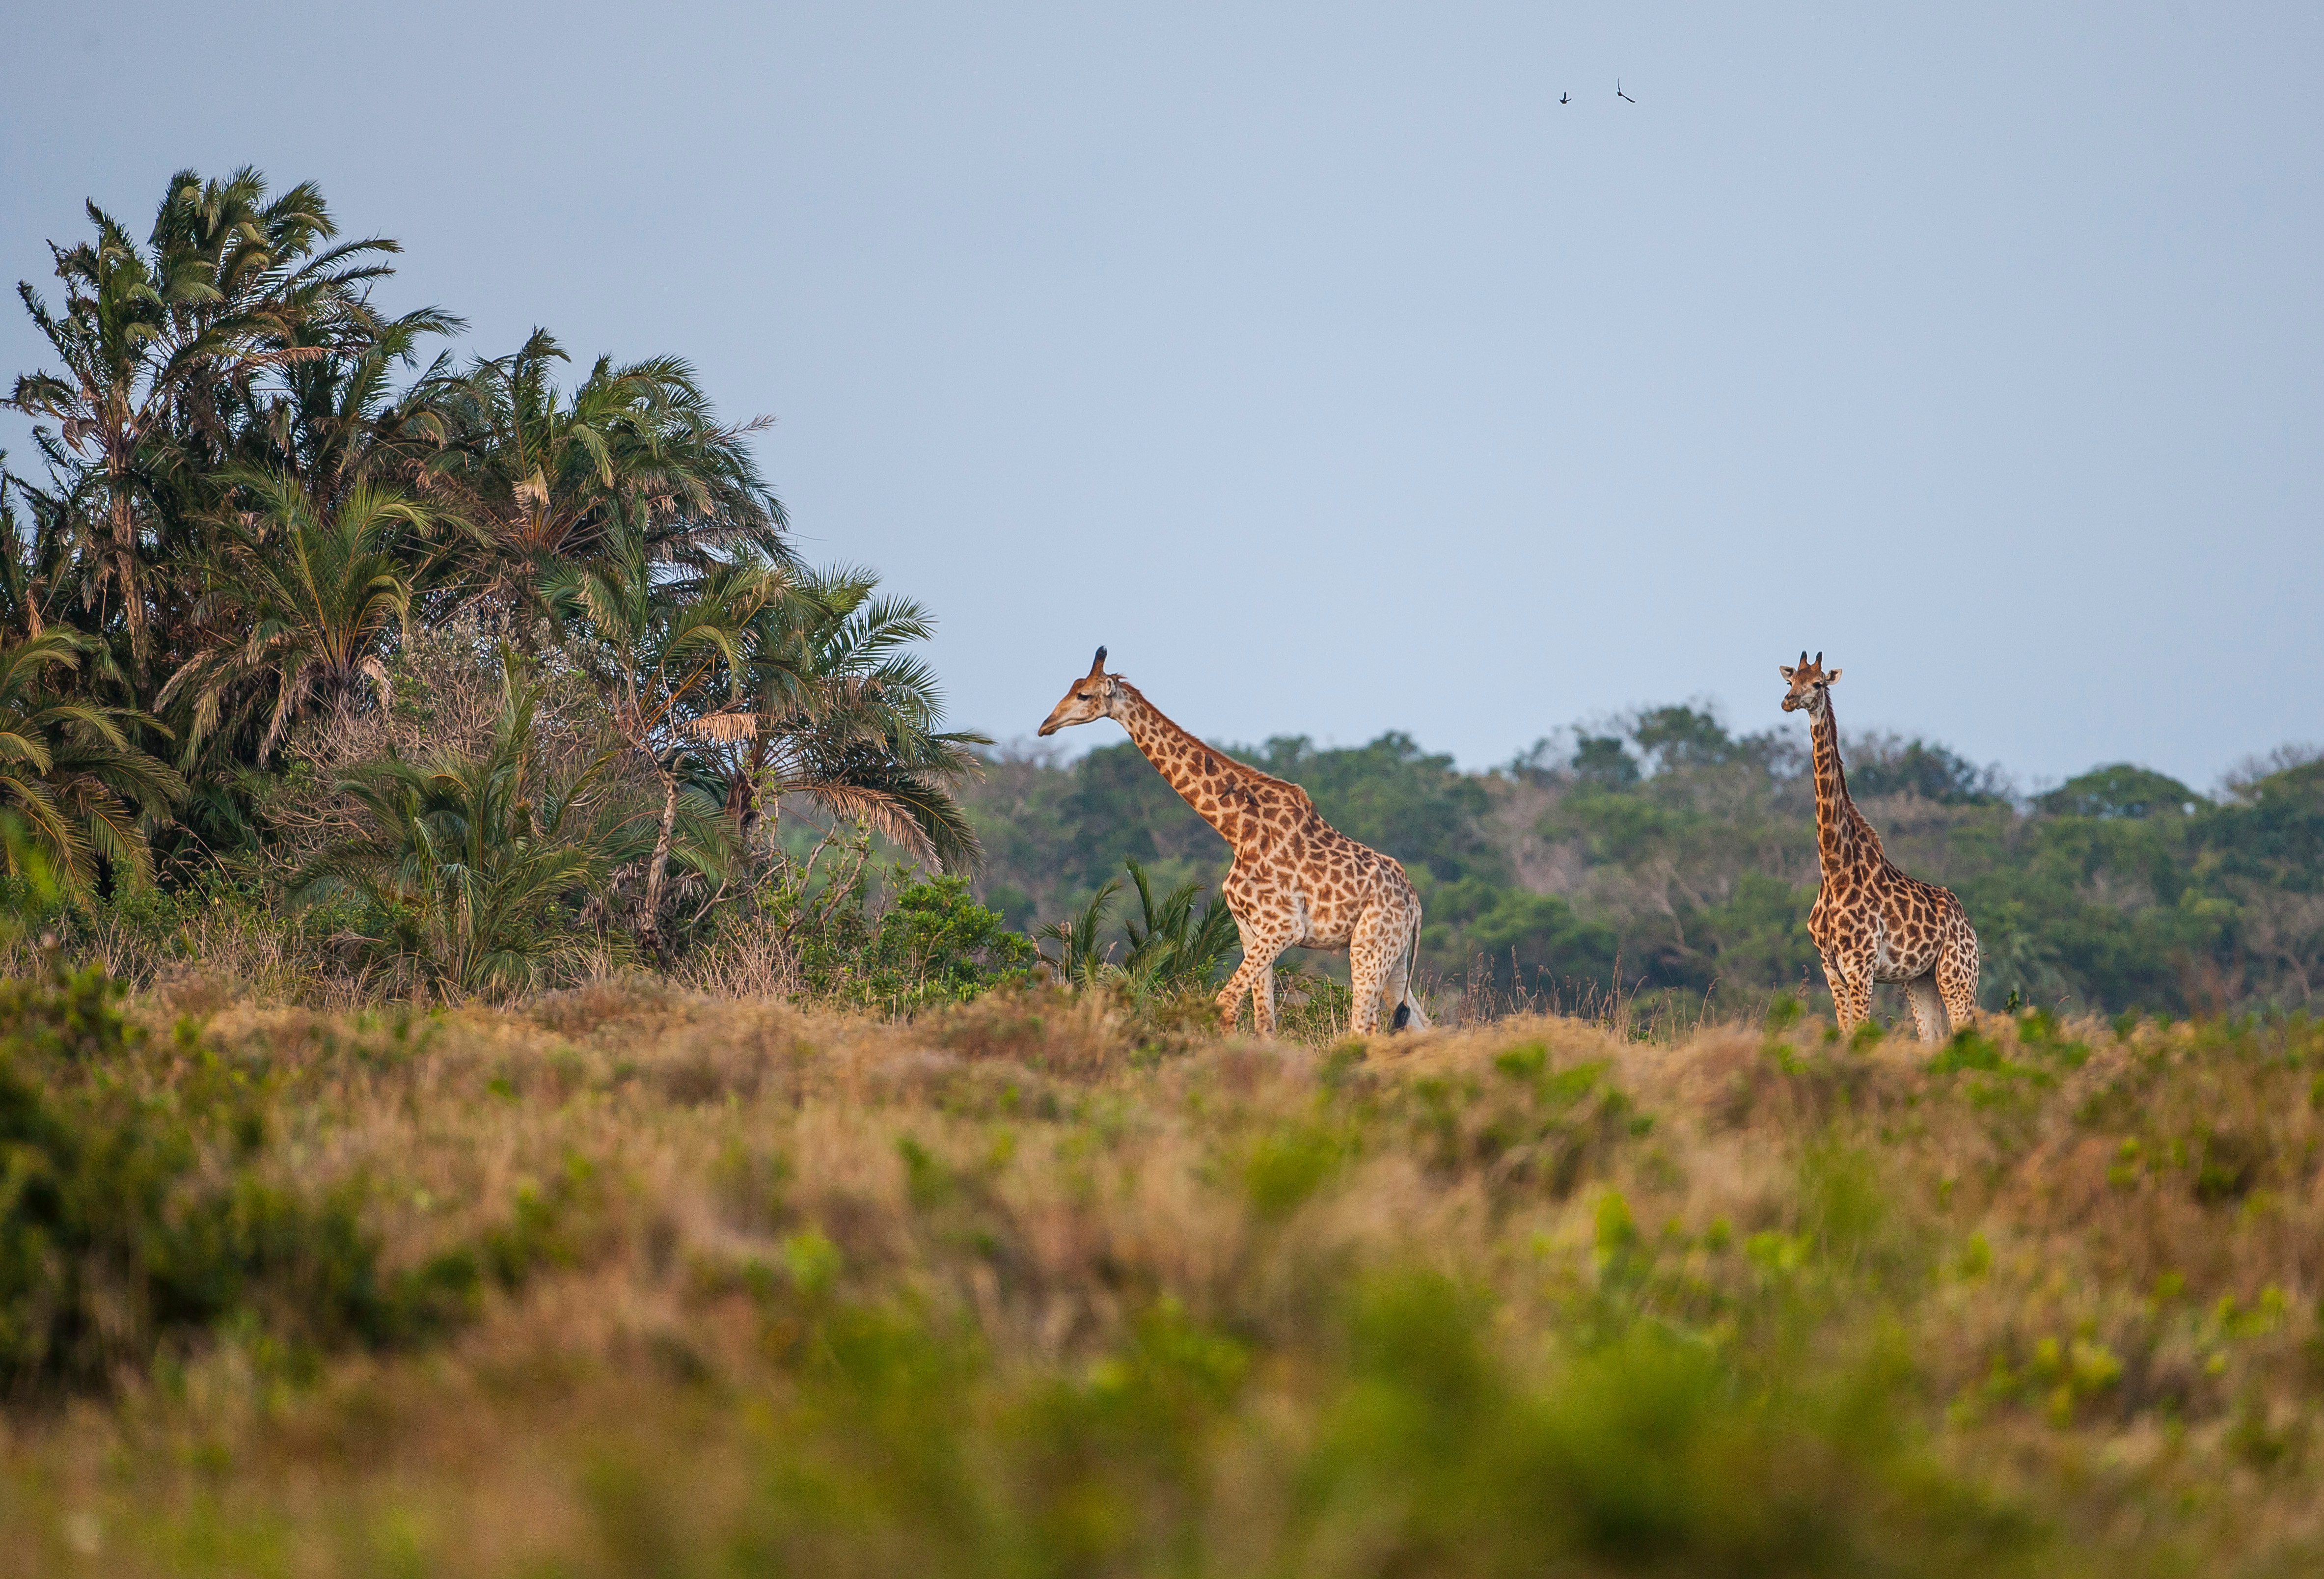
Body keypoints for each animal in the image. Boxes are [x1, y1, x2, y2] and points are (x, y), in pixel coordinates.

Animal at [1041, 642, 1431, 1037]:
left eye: (1083, 694)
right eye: (1073, 687)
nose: (1046, 725)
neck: (1236, 830)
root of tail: (1415, 904)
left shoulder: (1284, 925)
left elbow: (1225, 1005)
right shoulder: (1250, 929)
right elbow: (1264, 1022)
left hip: (1369, 948)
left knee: (1363, 1028)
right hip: (1392, 957)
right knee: (1421, 1023)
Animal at [1776, 646, 1980, 1041]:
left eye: (1818, 683)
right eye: (1791, 681)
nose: (1789, 702)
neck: (1834, 869)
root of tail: (1966, 923)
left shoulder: (1861, 966)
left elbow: (1862, 1035)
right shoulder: (1831, 969)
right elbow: (1844, 1034)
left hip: (1958, 976)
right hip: (1920, 980)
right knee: (1933, 1040)